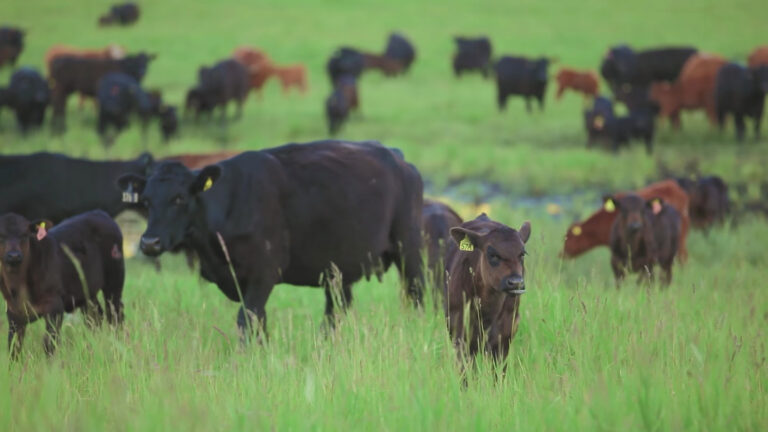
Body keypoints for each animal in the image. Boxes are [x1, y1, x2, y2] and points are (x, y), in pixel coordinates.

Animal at [0, 211, 125, 359]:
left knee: (115, 315)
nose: (14, 256)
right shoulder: (13, 312)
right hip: (86, 292)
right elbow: (13, 347)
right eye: (0, 236)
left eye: (25, 235)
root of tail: (99, 212)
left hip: (114, 281)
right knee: (94, 316)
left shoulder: (54, 306)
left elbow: (49, 343)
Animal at [117, 140, 424, 339]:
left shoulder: (263, 273)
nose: (149, 242)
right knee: (336, 309)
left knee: (415, 295)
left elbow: (247, 319)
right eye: (146, 201)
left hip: (408, 248)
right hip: (338, 267)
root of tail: (398, 158)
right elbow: (259, 320)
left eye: (179, 198)